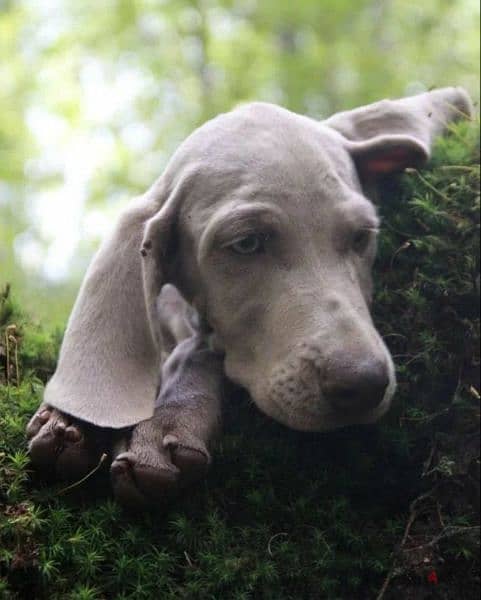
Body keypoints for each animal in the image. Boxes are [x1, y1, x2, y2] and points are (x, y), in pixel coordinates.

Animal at [27, 85, 472, 506]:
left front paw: (165, 423)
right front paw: (76, 421)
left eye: (362, 236)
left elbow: (198, 347)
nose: (363, 384)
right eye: (246, 244)